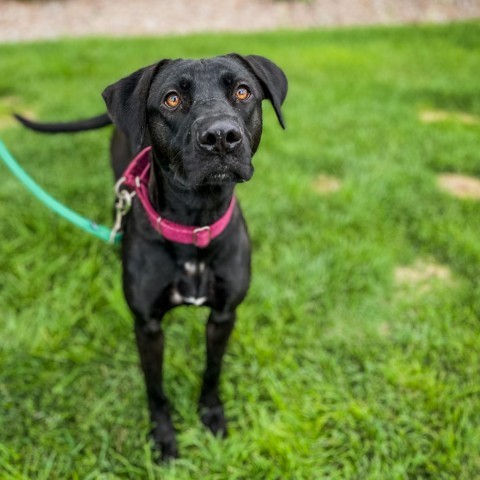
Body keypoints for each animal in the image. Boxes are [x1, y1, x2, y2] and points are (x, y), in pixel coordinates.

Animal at [16, 53, 288, 462]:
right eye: (172, 99)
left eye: (242, 92)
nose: (220, 136)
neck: (194, 221)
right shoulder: (147, 326)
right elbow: (155, 388)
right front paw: (163, 436)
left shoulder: (224, 315)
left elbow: (212, 370)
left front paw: (212, 415)